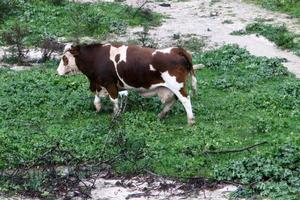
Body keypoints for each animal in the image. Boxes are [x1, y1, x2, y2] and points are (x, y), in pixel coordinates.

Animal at [57, 43, 198, 125]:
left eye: (64, 58)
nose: (57, 71)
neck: (96, 57)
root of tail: (176, 50)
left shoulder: (110, 83)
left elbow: (114, 100)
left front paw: (115, 115)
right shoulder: (99, 83)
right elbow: (97, 97)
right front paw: (98, 107)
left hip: (176, 85)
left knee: (185, 99)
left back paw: (190, 121)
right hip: (168, 88)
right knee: (172, 101)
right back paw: (161, 115)